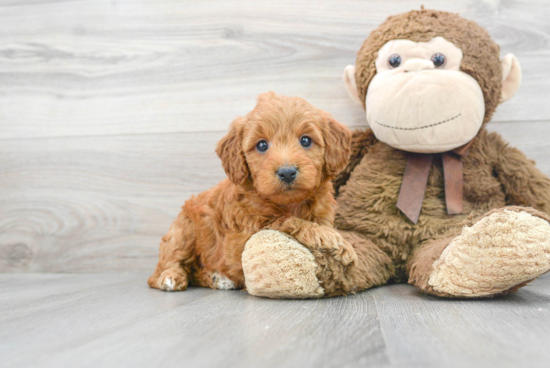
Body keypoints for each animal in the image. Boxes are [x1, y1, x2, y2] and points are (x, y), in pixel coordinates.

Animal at [147, 91, 356, 290]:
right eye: (262, 145)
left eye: (306, 140)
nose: (287, 172)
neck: (289, 204)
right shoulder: (245, 236)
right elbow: (285, 220)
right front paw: (331, 239)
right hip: (184, 231)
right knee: (168, 264)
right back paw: (171, 277)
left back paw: (217, 279)